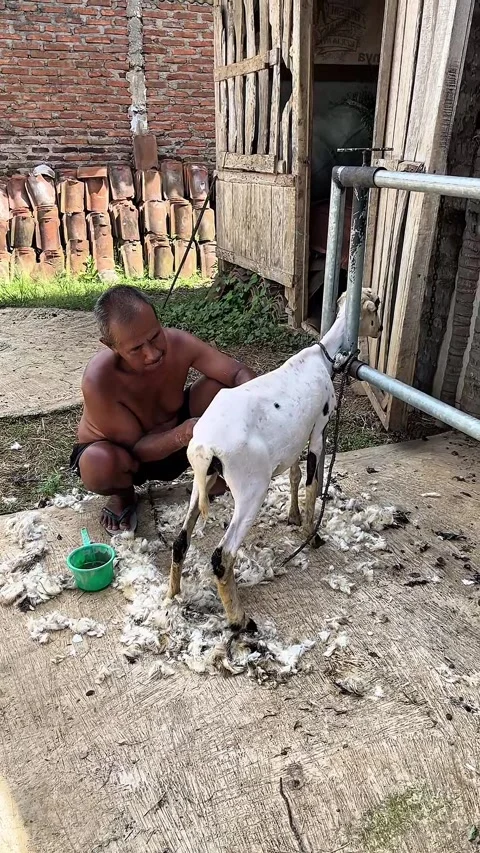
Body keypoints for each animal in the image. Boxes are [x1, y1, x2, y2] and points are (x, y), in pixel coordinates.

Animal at [166, 288, 382, 631]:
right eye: (377, 306)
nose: (381, 330)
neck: (320, 357)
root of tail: (205, 447)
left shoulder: (294, 439)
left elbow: (295, 475)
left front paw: (293, 517)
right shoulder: (319, 429)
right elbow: (313, 483)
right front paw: (311, 534)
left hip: (203, 483)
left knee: (179, 540)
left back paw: (172, 594)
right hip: (251, 489)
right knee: (222, 556)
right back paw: (240, 619)